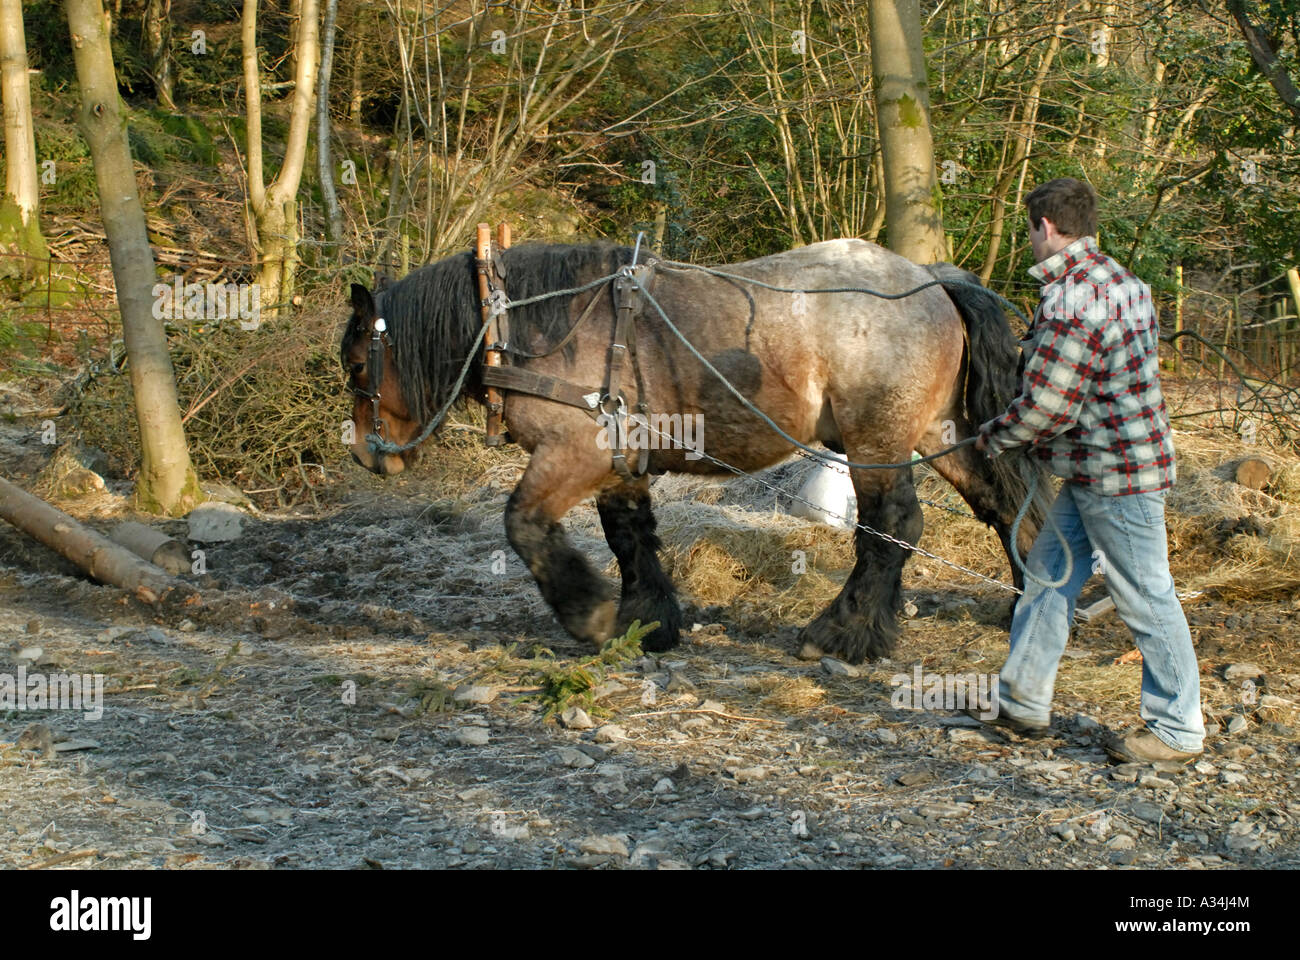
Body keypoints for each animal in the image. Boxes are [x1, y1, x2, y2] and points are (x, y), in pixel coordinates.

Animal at [341, 238, 1041, 664]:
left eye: (356, 364)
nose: (367, 456)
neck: (527, 325)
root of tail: (929, 279)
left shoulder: (575, 453)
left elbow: (525, 524)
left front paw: (588, 615)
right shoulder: (620, 461)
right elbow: (629, 537)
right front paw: (646, 621)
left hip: (877, 441)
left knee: (893, 527)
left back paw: (842, 632)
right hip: (940, 434)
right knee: (1005, 507)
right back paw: (1022, 604)